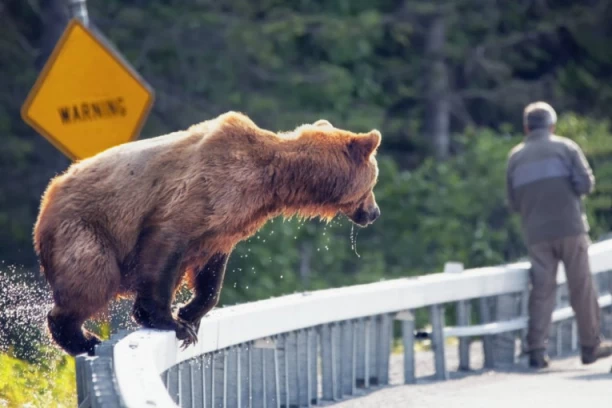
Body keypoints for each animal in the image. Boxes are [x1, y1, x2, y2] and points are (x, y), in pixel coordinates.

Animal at [33, 111, 380, 354]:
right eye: (374, 181)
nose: (374, 213)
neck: (271, 181)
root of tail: (46, 199)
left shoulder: (226, 225)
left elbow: (211, 272)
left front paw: (190, 314)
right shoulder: (196, 195)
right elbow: (164, 247)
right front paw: (171, 321)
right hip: (85, 229)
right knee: (92, 277)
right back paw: (84, 338)